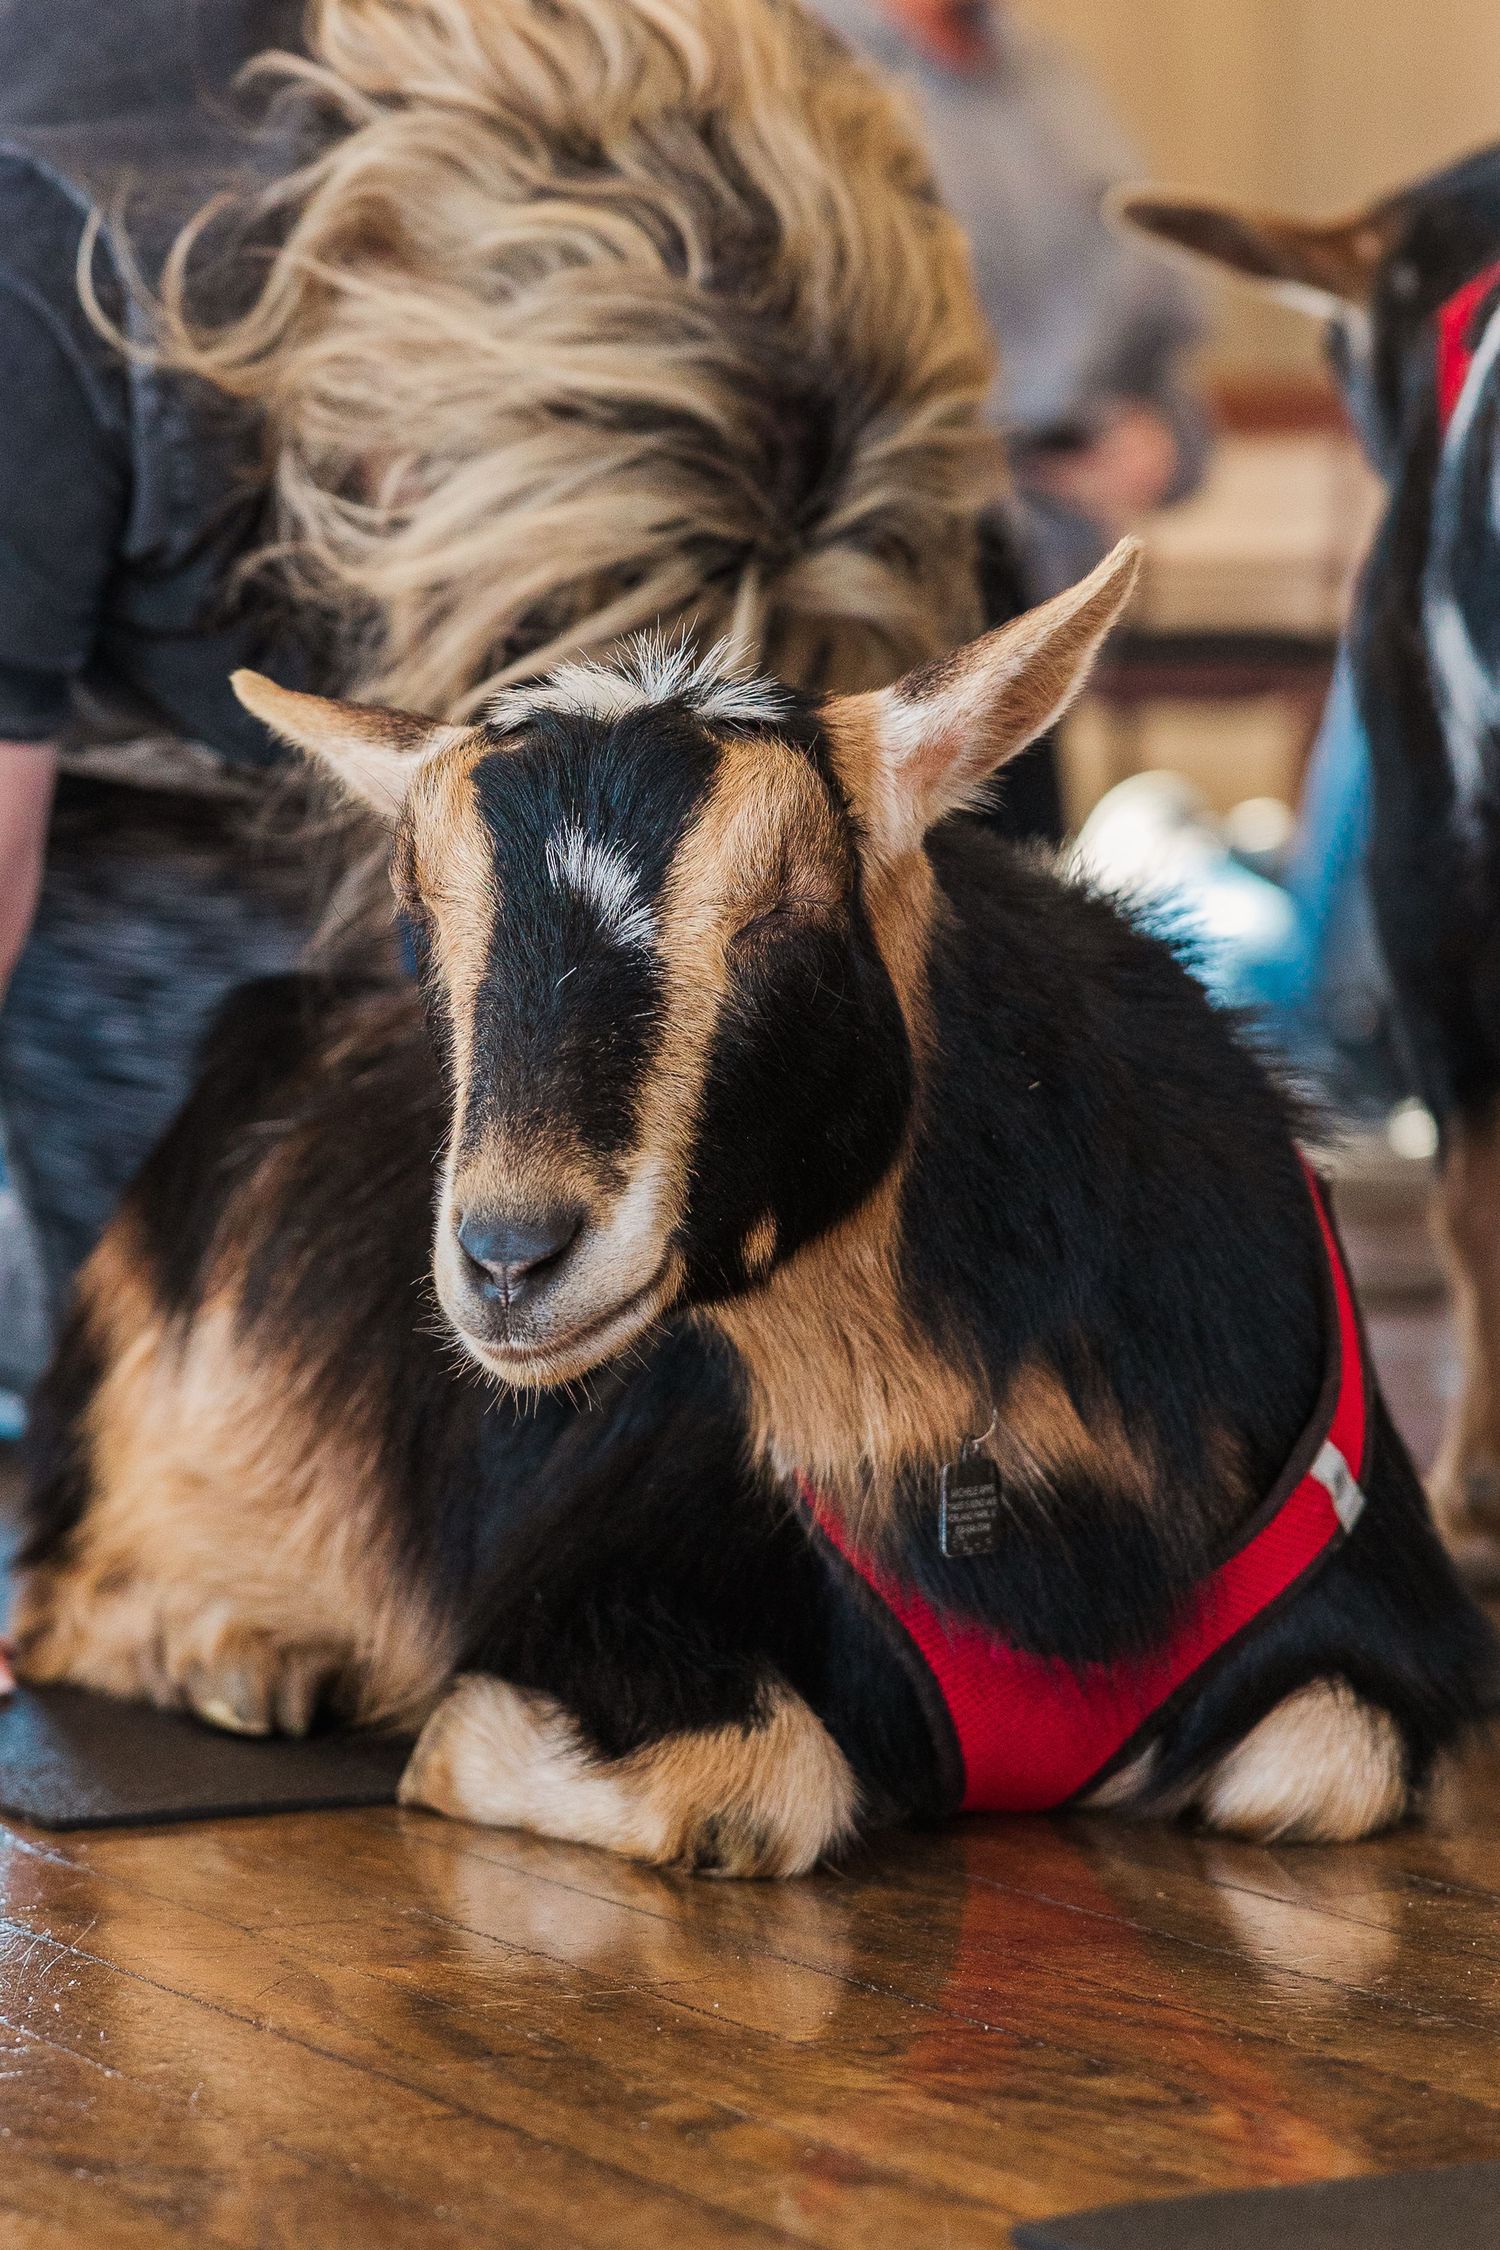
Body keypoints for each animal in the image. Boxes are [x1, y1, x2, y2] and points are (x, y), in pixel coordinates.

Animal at [15, 542, 1492, 1873]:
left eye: (785, 909)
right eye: (423, 921)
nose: (510, 1258)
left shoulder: (1388, 1627)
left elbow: (1331, 1765)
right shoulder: (595, 1581)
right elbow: (756, 1773)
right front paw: (444, 1741)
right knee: (48, 1600)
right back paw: (239, 1654)